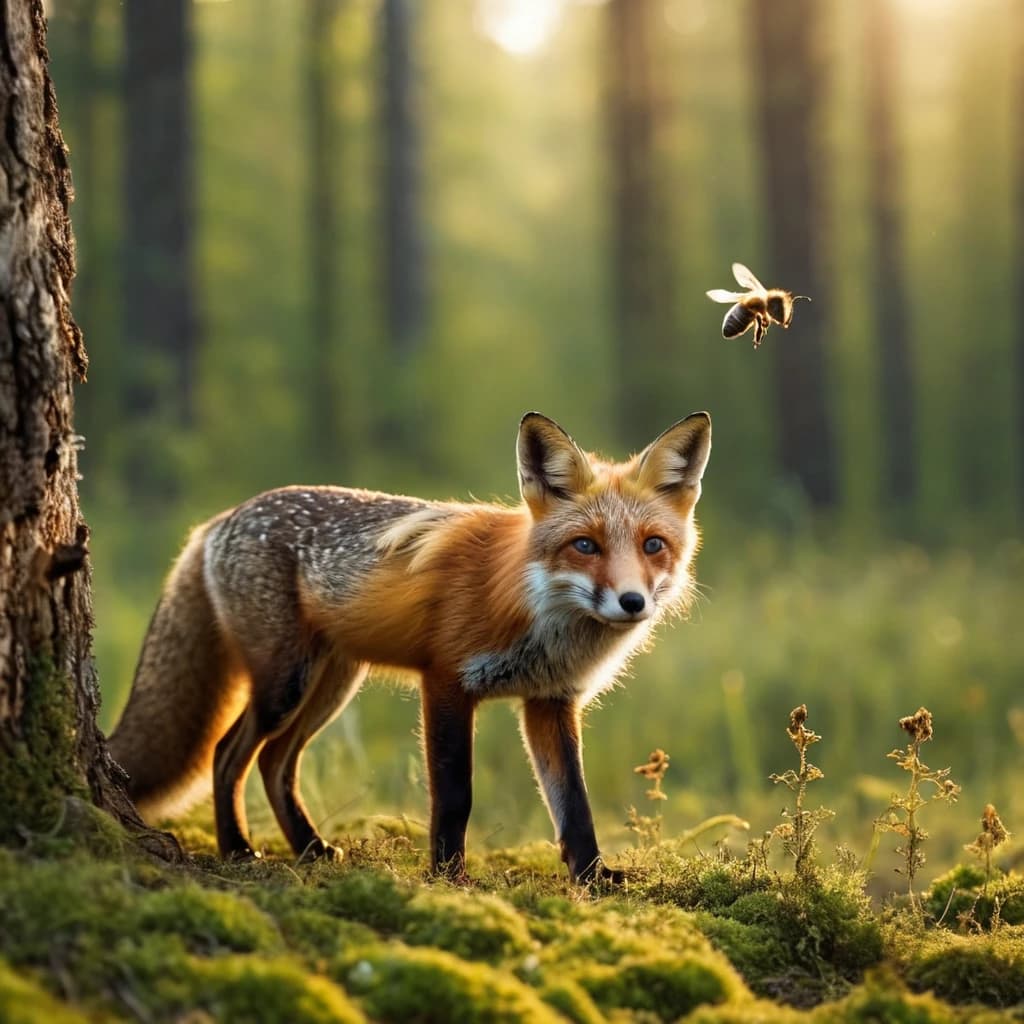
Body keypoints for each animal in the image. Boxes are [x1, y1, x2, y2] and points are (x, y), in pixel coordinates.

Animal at [108, 410, 711, 882]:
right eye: (584, 546)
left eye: (652, 545)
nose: (632, 602)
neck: (534, 610)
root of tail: (218, 521)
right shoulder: (446, 680)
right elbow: (454, 794)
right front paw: (448, 876)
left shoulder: (549, 701)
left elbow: (574, 806)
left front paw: (594, 878)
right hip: (285, 685)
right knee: (227, 754)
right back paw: (238, 848)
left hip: (331, 686)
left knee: (275, 763)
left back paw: (310, 848)